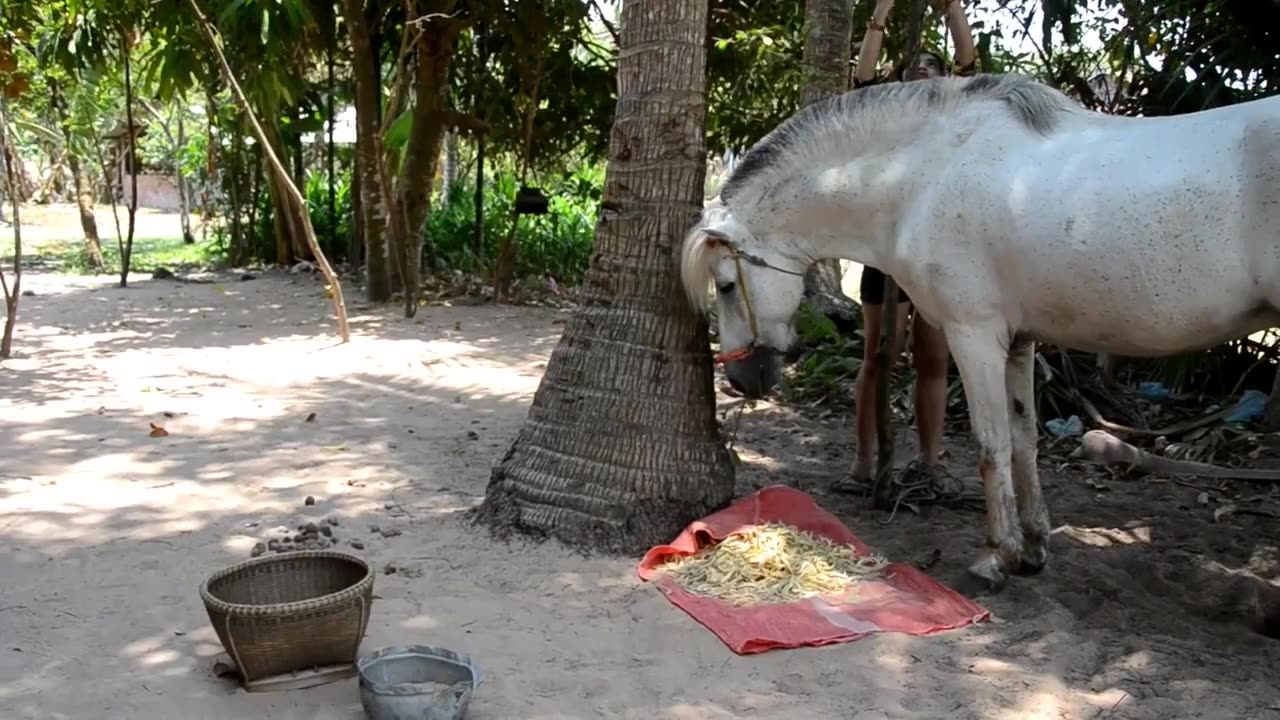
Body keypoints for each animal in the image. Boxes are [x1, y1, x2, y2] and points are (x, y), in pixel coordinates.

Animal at [680, 73, 1280, 591]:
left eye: (727, 286)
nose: (742, 379)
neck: (923, 174)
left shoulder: (974, 336)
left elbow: (991, 443)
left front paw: (999, 555)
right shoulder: (1019, 342)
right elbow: (1024, 440)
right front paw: (1034, 546)